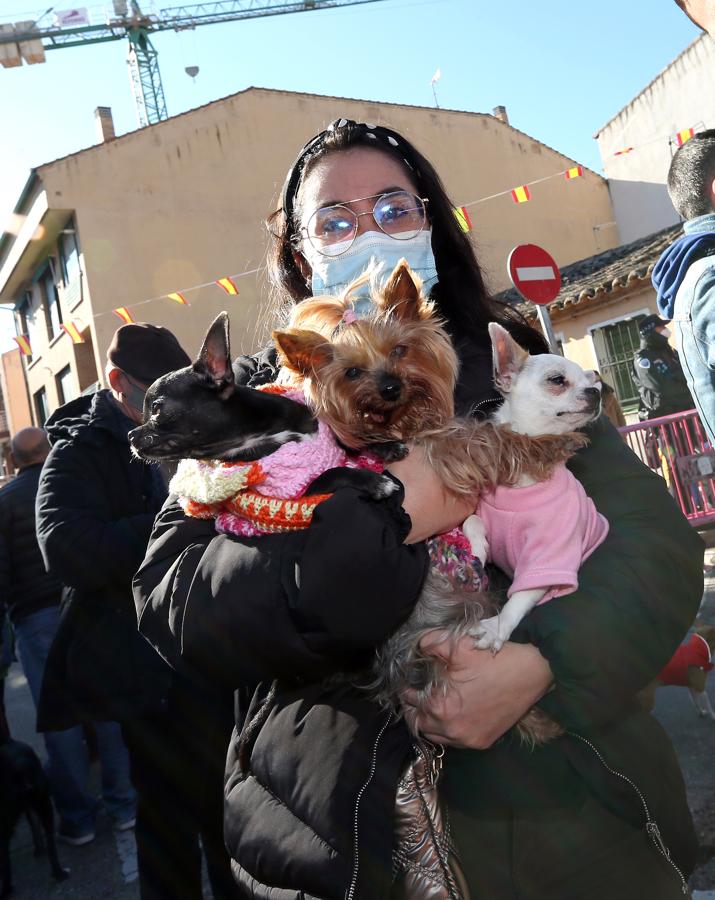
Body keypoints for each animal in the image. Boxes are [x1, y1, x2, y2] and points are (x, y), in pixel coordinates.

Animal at [0, 736, 68, 896]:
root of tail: (21, 767)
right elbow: (35, 825)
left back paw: (6, 889)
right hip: (43, 803)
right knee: (51, 843)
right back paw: (58, 873)